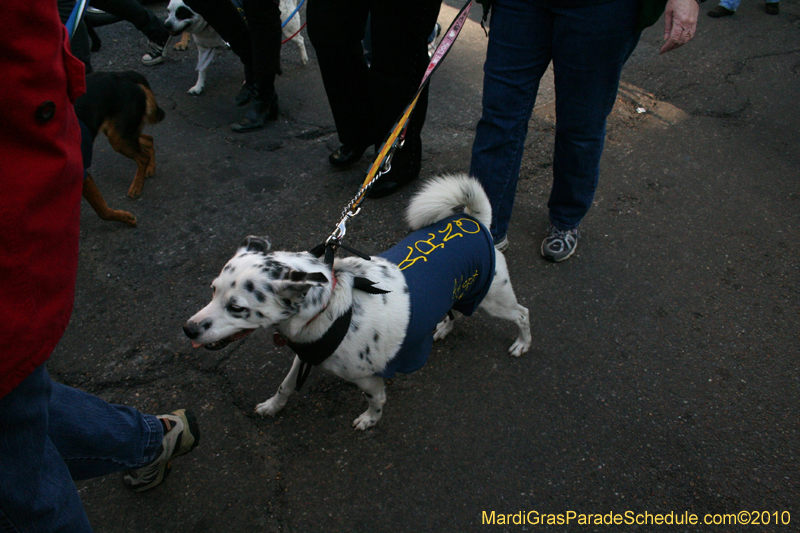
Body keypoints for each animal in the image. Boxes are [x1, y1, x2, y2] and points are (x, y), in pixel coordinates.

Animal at [181, 175, 532, 428]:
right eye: (212, 290)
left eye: (237, 307)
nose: (188, 329)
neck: (328, 309)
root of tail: (475, 221)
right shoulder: (304, 355)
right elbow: (286, 386)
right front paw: (272, 406)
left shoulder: (368, 379)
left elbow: (377, 401)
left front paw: (370, 420)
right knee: (452, 311)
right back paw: (443, 328)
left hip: (494, 299)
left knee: (523, 314)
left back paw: (522, 343)